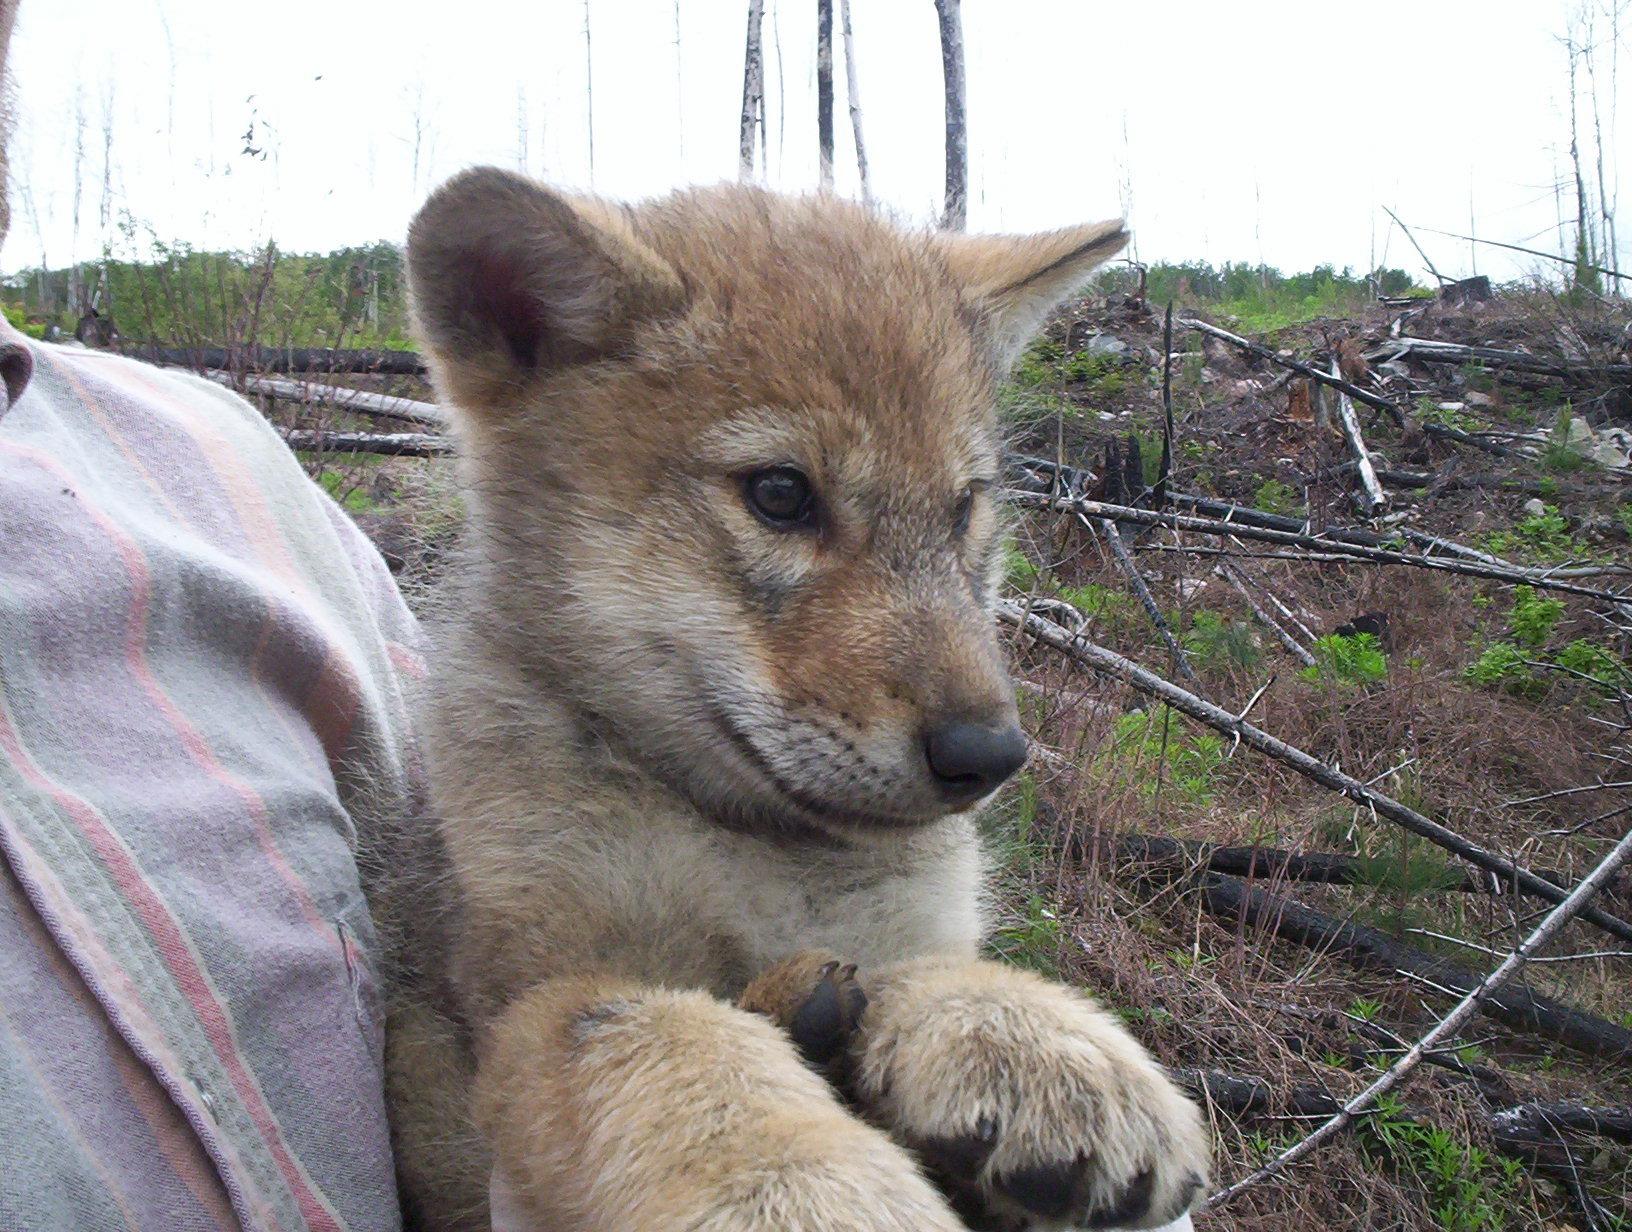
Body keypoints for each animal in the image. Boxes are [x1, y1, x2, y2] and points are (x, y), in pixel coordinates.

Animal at [383, 167, 1210, 1232]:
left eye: (963, 509)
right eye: (780, 494)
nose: (990, 757)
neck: (754, 854)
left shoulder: (901, 926)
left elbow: (930, 966)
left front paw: (1032, 1040)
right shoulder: (526, 995)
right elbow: (666, 1033)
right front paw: (790, 1174)